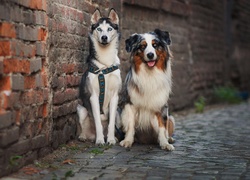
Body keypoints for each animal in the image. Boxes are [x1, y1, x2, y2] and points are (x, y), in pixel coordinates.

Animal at [77, 9, 122, 146]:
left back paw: (114, 138)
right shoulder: (93, 97)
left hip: (119, 112)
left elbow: (111, 123)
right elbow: (98, 122)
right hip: (81, 109)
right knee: (83, 128)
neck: (105, 65)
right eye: (99, 29)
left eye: (109, 29)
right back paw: (85, 137)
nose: (104, 37)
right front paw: (100, 140)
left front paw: (111, 139)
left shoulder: (115, 97)